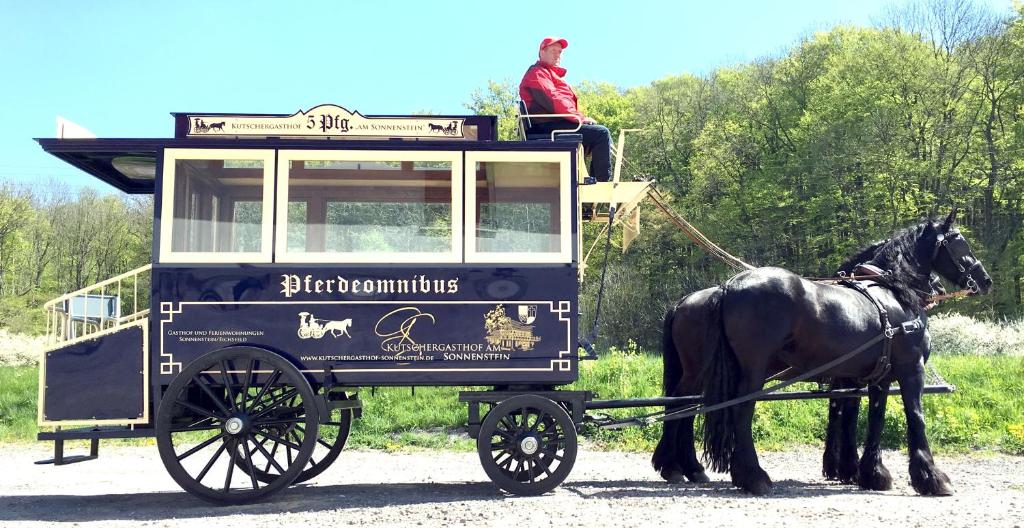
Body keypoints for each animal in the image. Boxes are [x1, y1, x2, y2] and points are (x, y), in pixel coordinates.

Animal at [651, 211, 987, 495]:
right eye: (958, 240)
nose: (985, 279)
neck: (892, 291)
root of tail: (726, 287)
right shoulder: (909, 369)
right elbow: (914, 416)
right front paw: (931, 478)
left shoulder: (875, 377)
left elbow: (869, 418)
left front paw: (870, 473)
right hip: (746, 370)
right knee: (734, 410)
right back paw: (750, 476)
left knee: (685, 404)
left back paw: (687, 466)